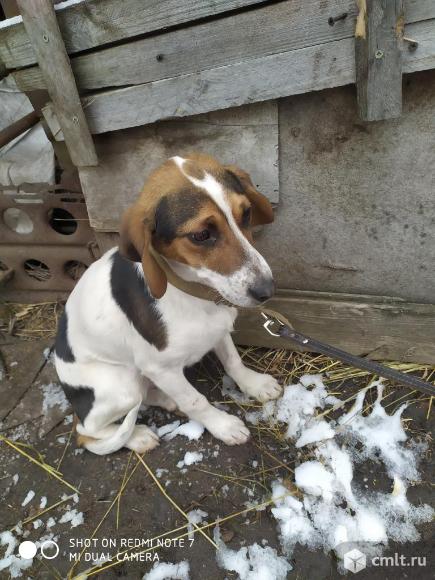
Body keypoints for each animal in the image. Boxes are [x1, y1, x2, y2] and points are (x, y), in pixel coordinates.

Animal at [54, 155, 282, 458]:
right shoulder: (160, 368)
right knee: (88, 432)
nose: (267, 291)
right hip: (121, 386)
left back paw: (164, 399)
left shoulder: (219, 330)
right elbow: (195, 401)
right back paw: (138, 436)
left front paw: (254, 384)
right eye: (201, 235)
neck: (192, 292)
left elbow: (233, 361)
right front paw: (222, 425)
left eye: (245, 214)